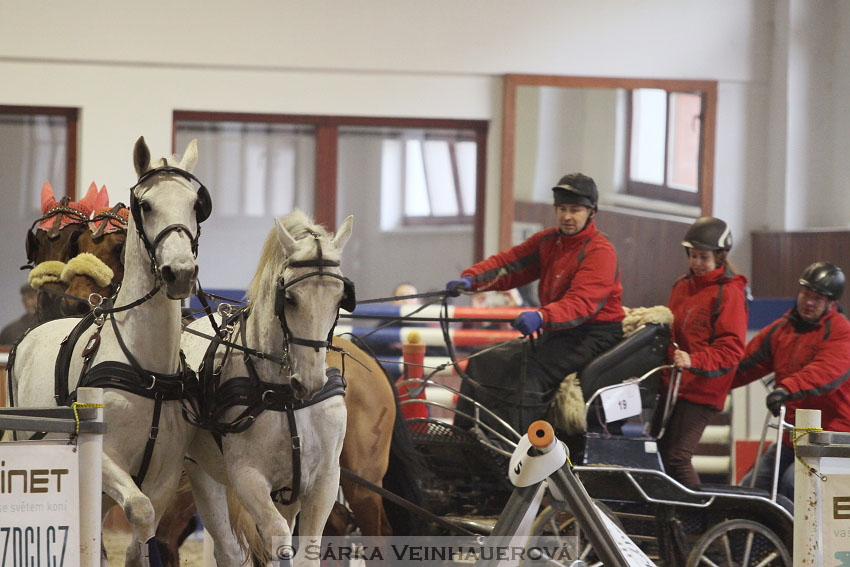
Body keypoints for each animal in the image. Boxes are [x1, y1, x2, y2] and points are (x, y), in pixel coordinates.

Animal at [9, 138, 210, 567]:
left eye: (194, 204)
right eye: (145, 205)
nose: (181, 272)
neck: (147, 369)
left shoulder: (166, 474)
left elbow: (142, 535)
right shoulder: (102, 458)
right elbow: (138, 510)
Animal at [181, 212, 352, 567]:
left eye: (339, 298)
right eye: (290, 298)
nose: (310, 382)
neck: (286, 398)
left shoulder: (324, 480)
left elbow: (307, 553)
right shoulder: (247, 477)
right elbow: (277, 535)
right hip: (203, 474)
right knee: (227, 548)